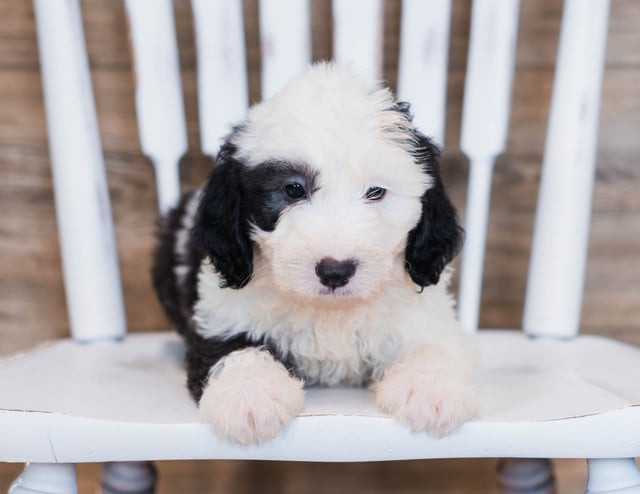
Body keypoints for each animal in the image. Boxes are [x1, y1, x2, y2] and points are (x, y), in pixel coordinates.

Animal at [152, 61, 478, 444]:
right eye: (293, 189)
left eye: (376, 192)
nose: (335, 271)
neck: (330, 310)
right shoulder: (222, 312)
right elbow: (234, 349)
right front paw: (250, 395)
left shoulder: (423, 314)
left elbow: (434, 345)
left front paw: (430, 390)